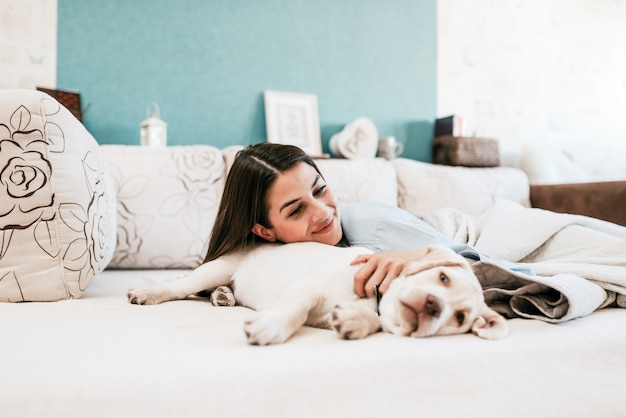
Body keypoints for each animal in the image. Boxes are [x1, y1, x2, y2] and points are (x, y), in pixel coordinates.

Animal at [128, 242, 508, 342]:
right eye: (443, 278)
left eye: (459, 318)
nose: (432, 306)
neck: (373, 298)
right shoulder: (306, 288)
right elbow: (296, 309)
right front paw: (272, 327)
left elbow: (370, 320)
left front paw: (354, 322)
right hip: (218, 266)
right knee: (181, 285)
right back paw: (147, 292)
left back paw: (224, 296)